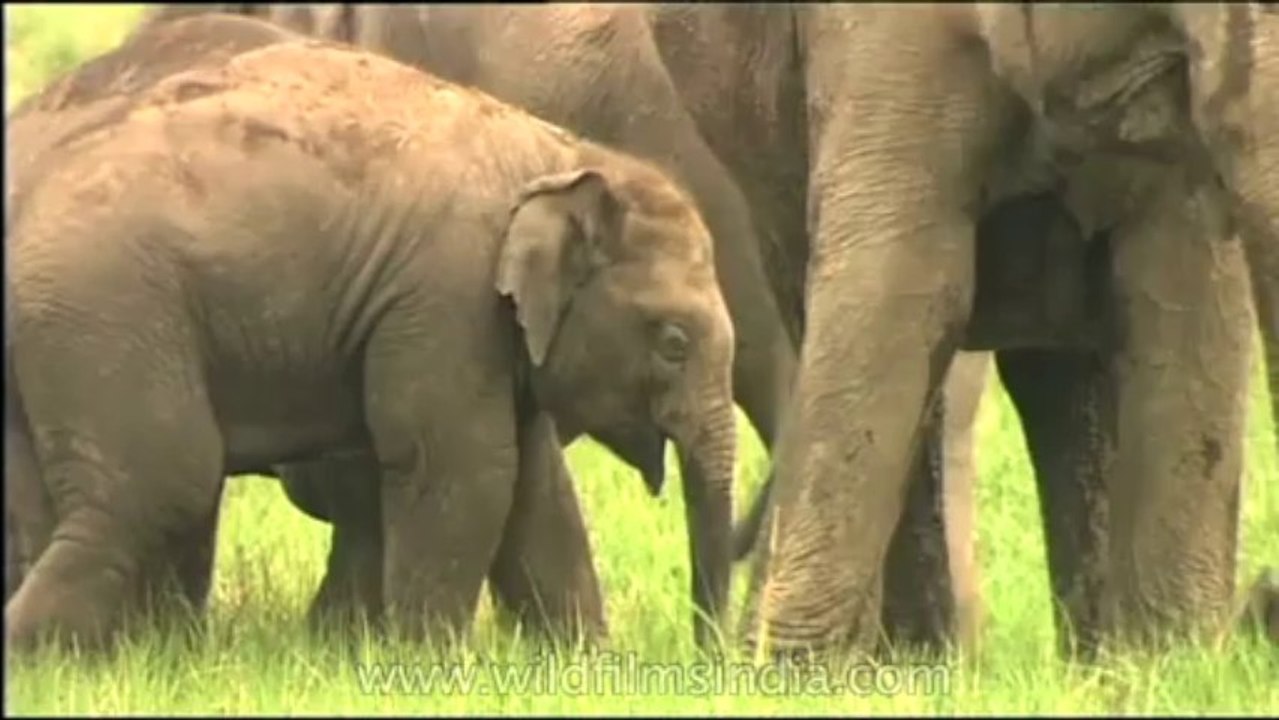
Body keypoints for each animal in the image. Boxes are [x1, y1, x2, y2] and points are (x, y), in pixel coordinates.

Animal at [3, 16, 739, 653]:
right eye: (673, 342)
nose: (710, 655)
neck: (560, 156)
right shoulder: (446, 293)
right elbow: (461, 464)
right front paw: (427, 661)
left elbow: (537, 487)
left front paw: (579, 660)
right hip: (108, 311)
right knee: (162, 481)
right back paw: (41, 653)